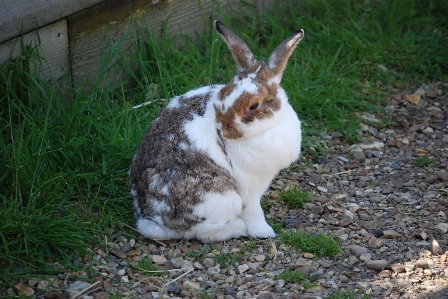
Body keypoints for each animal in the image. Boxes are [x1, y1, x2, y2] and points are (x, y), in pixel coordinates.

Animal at [130, 19, 304, 243]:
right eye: (221, 98)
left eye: (254, 106)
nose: (224, 130)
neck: (267, 128)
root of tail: (153, 220)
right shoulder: (248, 188)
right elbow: (253, 212)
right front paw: (265, 232)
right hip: (222, 197)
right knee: (203, 232)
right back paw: (238, 228)